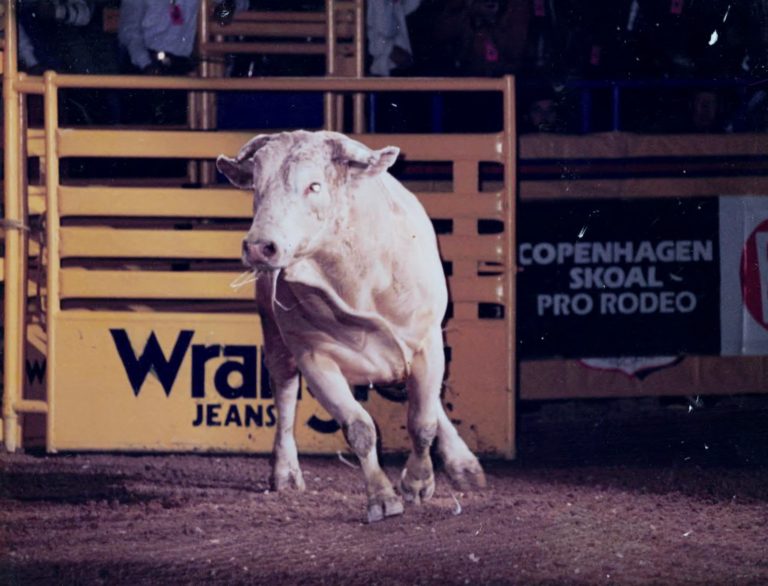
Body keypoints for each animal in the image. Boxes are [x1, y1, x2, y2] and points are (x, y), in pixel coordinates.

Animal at [217, 130, 485, 522]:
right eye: (257, 185)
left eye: (314, 185)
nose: (260, 247)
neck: (359, 280)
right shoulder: (314, 357)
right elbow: (359, 427)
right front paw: (383, 498)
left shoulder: (427, 343)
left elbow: (422, 422)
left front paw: (418, 483)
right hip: (273, 332)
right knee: (284, 392)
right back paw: (284, 472)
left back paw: (464, 467)